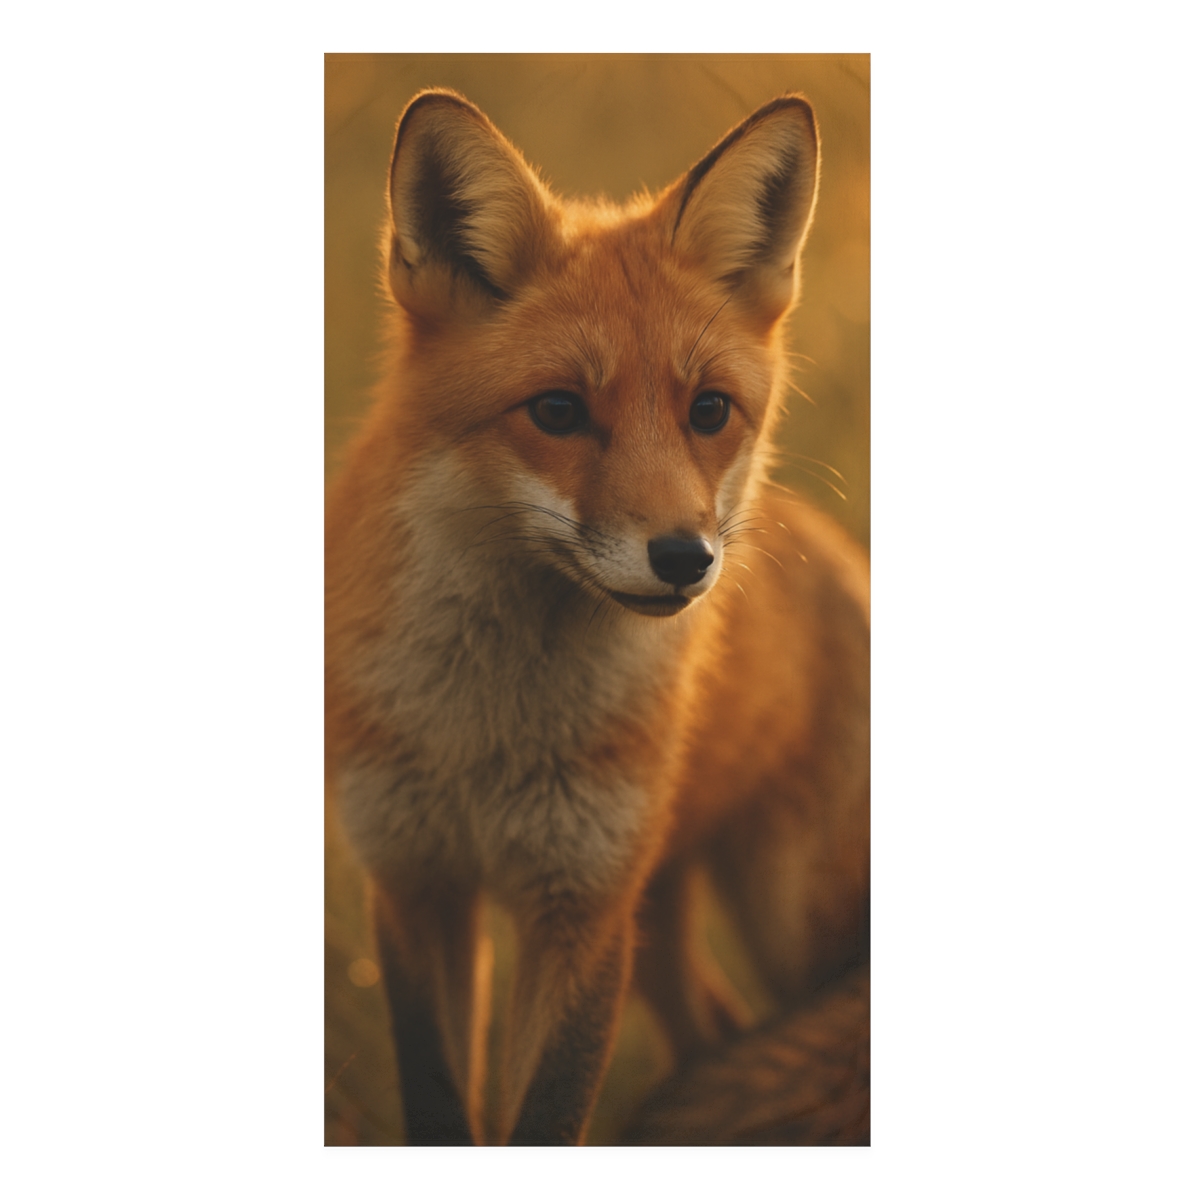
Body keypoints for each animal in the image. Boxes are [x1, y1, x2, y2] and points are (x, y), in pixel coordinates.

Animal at [325, 88, 869, 1146]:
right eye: (557, 412)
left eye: (710, 411)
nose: (686, 559)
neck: (489, 733)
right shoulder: (415, 884)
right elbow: (442, 1105)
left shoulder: (582, 910)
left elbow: (544, 1119)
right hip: (664, 915)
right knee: (714, 1033)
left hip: (788, 920)